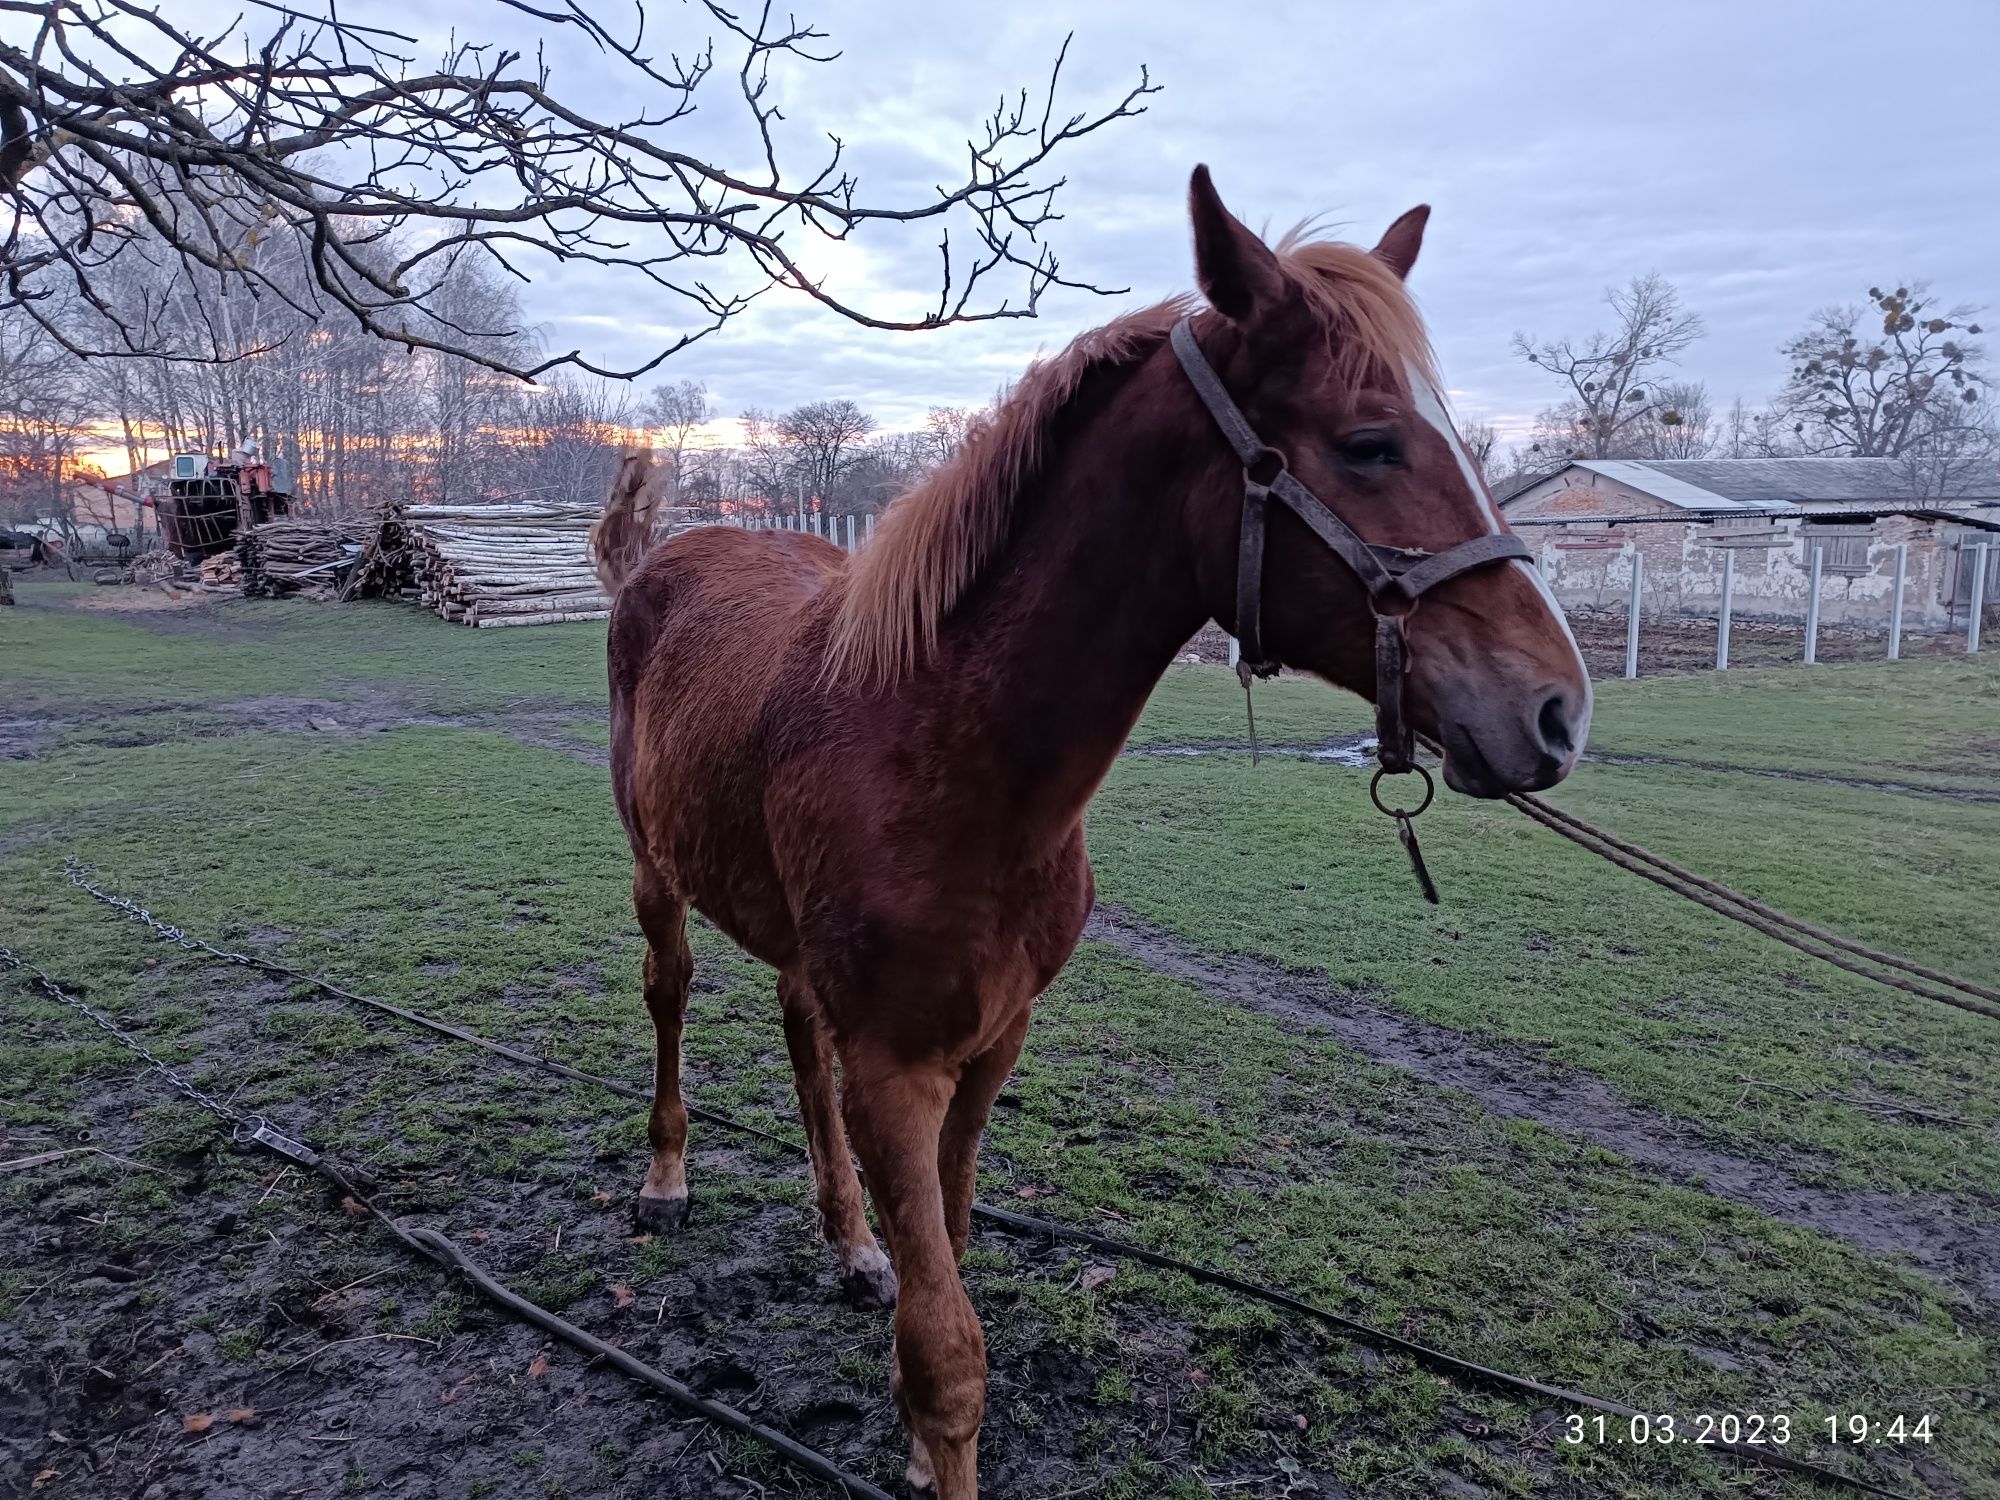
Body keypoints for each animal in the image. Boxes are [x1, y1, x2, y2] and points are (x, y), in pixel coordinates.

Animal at [592, 167, 1592, 1500]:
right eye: (1370, 444)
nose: (1554, 711)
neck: (944, 754)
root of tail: (662, 556)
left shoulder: (989, 1048)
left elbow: (946, 1259)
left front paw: (906, 1407)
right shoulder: (894, 1069)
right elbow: (948, 1351)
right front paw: (929, 1441)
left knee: (799, 1040)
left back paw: (847, 1245)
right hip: (656, 876)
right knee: (669, 994)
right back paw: (665, 1179)